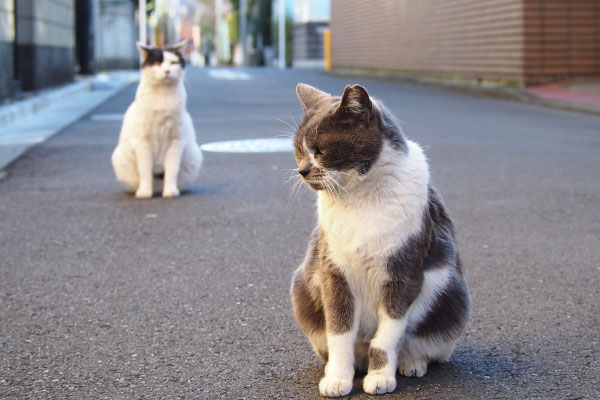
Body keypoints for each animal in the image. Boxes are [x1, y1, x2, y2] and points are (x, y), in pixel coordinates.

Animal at [112, 41, 204, 198]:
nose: (167, 71)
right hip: (120, 159)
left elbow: (172, 170)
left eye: (173, 62)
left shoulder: (175, 141)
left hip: (193, 157)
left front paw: (170, 191)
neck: (163, 96)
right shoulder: (143, 142)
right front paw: (144, 192)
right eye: (157, 63)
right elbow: (145, 170)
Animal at [290, 83, 468, 396]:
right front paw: (337, 378)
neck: (359, 198)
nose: (302, 170)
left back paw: (411, 364)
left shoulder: (404, 274)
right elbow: (339, 332)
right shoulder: (333, 273)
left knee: (419, 344)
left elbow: (387, 337)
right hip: (302, 287)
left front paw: (380, 377)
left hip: (451, 299)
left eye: (322, 150)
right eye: (298, 150)